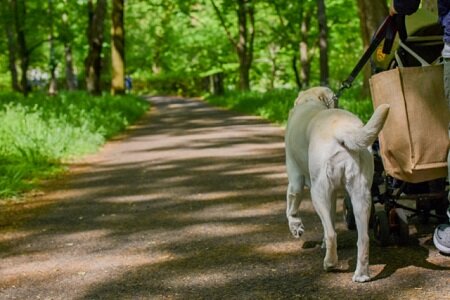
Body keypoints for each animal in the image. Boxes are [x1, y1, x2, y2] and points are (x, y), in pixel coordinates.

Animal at [284, 86, 390, 282]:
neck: (310, 101)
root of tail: (344, 129)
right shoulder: (332, 194)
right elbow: (331, 220)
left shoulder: (295, 179)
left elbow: (291, 208)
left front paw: (296, 227)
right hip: (361, 195)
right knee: (363, 238)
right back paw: (361, 275)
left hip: (318, 193)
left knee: (332, 234)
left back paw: (330, 263)